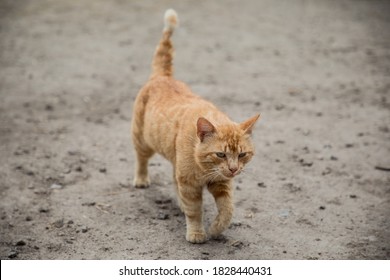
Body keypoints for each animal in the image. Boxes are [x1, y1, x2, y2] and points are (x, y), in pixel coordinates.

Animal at [130, 9, 258, 243]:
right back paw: (142, 179)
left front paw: (216, 229)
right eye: (221, 154)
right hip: (142, 140)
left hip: (174, 159)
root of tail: (163, 76)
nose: (234, 169)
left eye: (242, 155)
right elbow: (194, 211)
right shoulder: (189, 185)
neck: (205, 169)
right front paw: (197, 233)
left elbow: (228, 209)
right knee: (141, 159)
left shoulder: (222, 183)